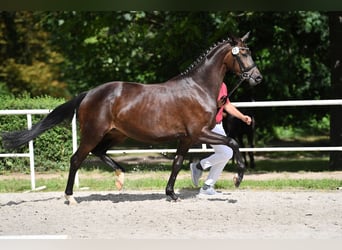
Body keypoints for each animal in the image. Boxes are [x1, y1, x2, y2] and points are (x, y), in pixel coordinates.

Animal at [2, 32, 262, 202]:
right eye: (243, 54)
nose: (257, 78)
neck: (198, 88)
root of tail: (88, 94)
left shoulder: (186, 138)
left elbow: (177, 163)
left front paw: (171, 194)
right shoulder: (199, 133)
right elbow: (232, 142)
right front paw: (238, 177)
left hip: (116, 134)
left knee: (99, 152)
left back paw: (120, 177)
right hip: (93, 133)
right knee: (76, 159)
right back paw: (70, 197)